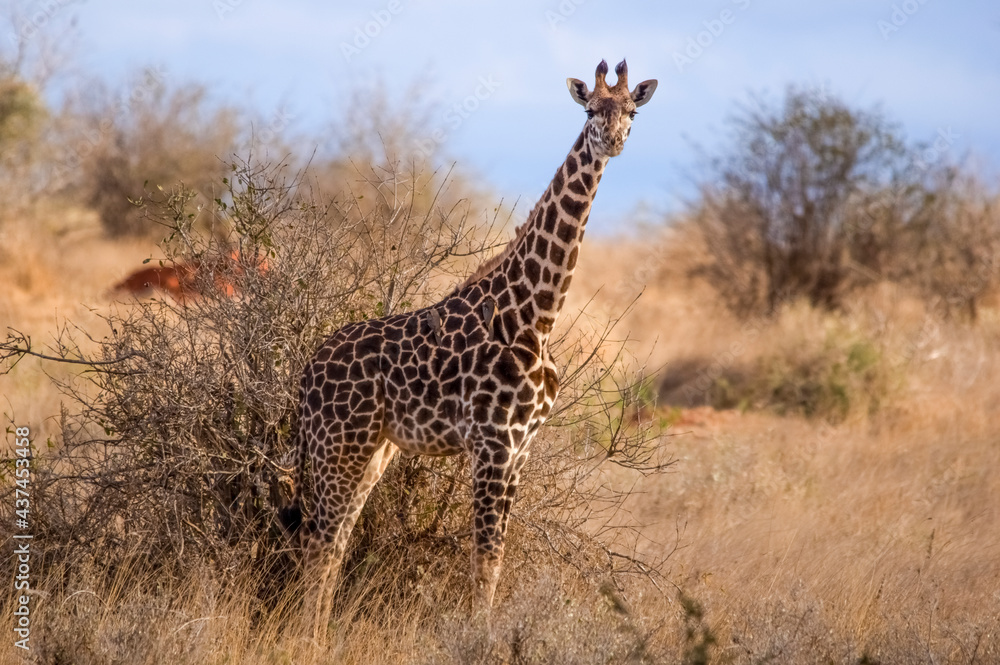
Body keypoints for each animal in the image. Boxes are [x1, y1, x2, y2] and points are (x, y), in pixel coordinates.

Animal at [279, 59, 657, 640]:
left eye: (632, 112)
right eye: (591, 110)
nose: (612, 141)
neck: (536, 316)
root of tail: (307, 374)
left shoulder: (520, 448)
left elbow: (493, 557)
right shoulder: (493, 443)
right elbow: (485, 558)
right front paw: (481, 640)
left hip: (374, 449)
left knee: (336, 539)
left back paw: (318, 638)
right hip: (339, 442)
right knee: (318, 538)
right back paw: (306, 641)